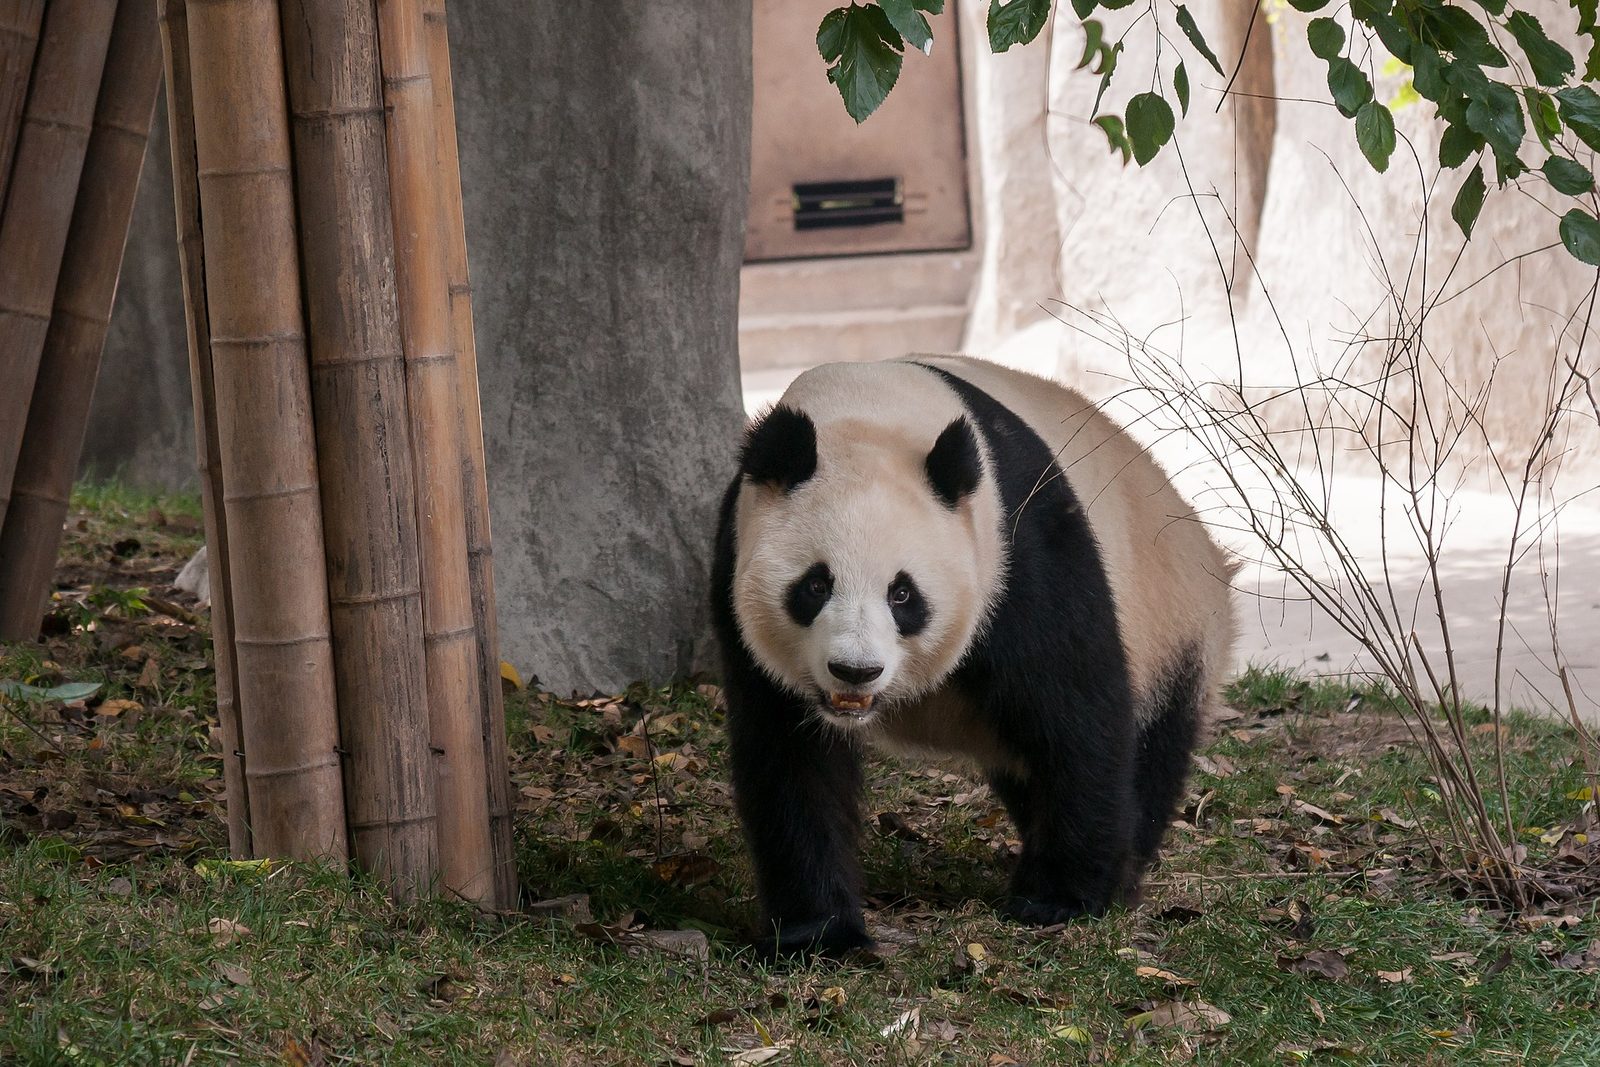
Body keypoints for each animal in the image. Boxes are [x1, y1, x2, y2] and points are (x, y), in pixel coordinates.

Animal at [710, 355, 1236, 956]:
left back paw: (1123, 870)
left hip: (1172, 627)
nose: (855, 672)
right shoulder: (735, 569)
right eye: (815, 586)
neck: (867, 412)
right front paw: (819, 934)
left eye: (902, 594)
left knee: (1150, 746)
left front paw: (1059, 899)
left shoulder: (1020, 547)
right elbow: (791, 761)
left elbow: (1076, 716)